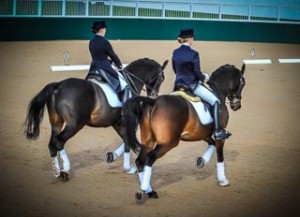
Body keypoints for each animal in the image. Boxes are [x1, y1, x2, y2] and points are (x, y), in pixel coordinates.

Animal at [22, 58, 169, 181]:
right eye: (161, 78)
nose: (154, 95)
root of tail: (58, 86)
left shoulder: (118, 123)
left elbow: (126, 141)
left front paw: (113, 157)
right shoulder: (126, 123)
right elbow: (128, 142)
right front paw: (128, 166)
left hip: (56, 123)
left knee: (52, 143)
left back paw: (57, 172)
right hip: (74, 125)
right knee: (59, 141)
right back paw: (66, 170)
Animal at [122, 63, 246, 203]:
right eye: (243, 83)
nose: (237, 105)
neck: (218, 91)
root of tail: (154, 102)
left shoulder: (202, 134)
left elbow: (212, 144)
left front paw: (201, 161)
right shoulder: (220, 135)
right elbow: (220, 155)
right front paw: (223, 180)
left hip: (148, 141)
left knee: (140, 161)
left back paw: (149, 191)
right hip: (168, 143)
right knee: (150, 158)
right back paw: (143, 191)